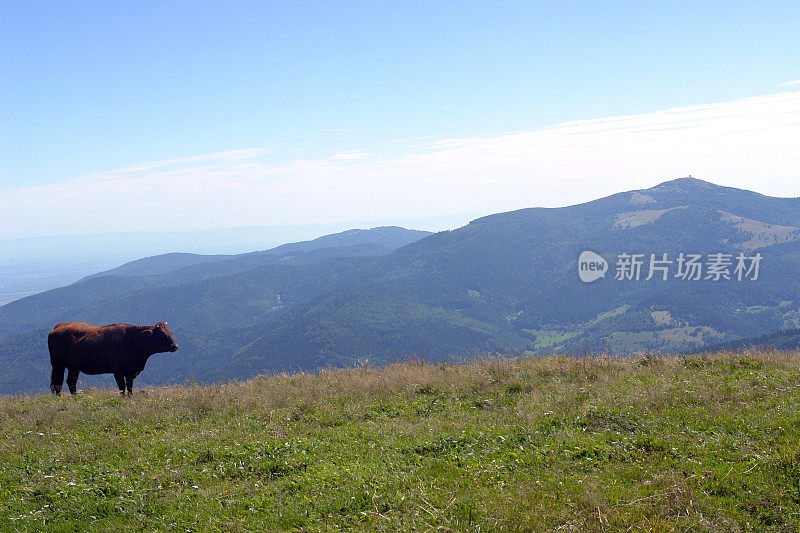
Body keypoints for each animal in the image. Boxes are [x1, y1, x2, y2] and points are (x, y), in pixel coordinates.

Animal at [48, 320, 178, 394]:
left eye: (170, 333)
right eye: (161, 334)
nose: (175, 346)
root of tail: (58, 327)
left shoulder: (130, 371)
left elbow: (130, 387)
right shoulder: (118, 371)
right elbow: (122, 387)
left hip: (74, 367)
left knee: (71, 382)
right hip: (57, 365)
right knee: (57, 384)